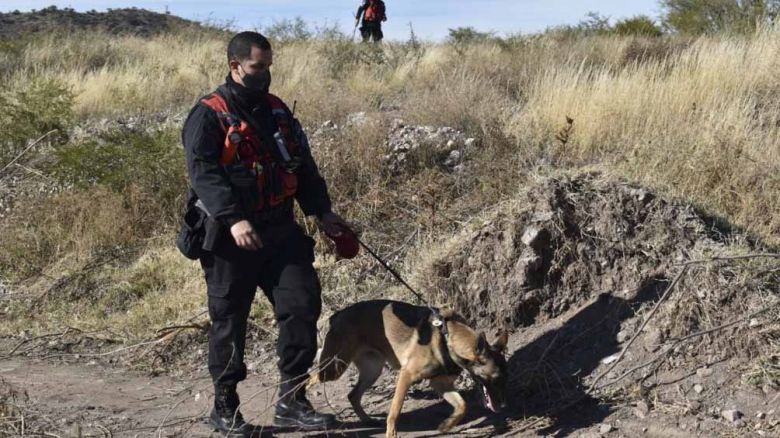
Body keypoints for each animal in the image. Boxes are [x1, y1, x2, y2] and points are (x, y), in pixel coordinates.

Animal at [304, 300, 506, 436]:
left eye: (505, 378)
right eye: (495, 378)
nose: (501, 406)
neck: (448, 338)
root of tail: (337, 315)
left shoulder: (440, 384)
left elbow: (463, 406)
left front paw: (446, 425)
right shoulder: (406, 376)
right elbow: (394, 412)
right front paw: (391, 434)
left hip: (372, 371)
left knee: (353, 395)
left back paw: (367, 419)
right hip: (334, 369)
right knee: (309, 379)